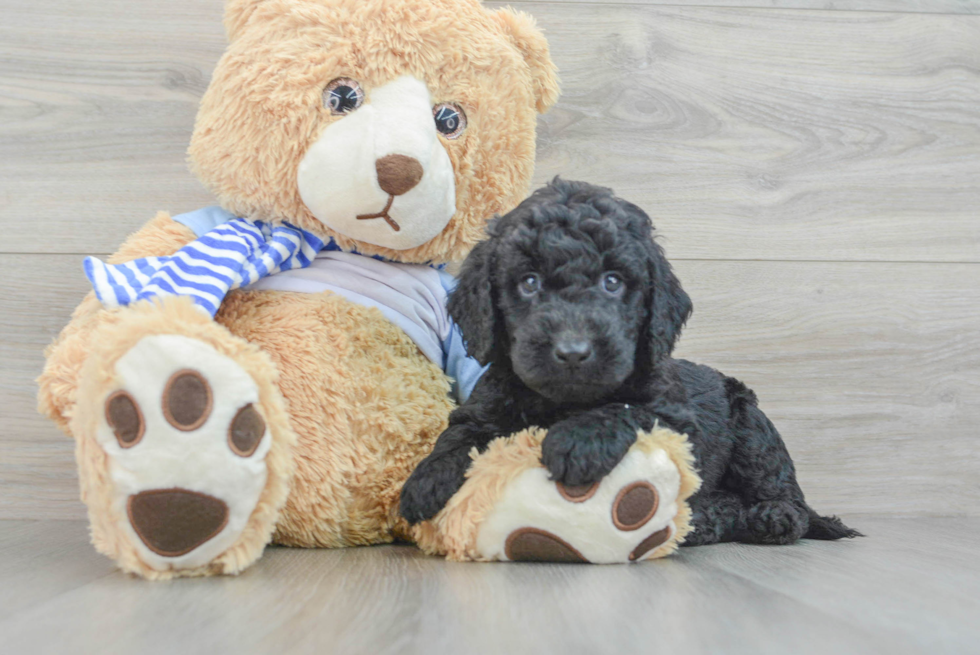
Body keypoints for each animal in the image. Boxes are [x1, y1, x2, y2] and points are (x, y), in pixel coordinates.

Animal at [400, 179, 856, 548]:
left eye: (612, 282)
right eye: (529, 283)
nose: (572, 351)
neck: (560, 403)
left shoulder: (674, 418)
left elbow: (625, 408)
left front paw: (576, 442)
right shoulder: (487, 405)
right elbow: (461, 435)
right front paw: (426, 479)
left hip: (753, 429)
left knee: (785, 498)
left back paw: (764, 517)